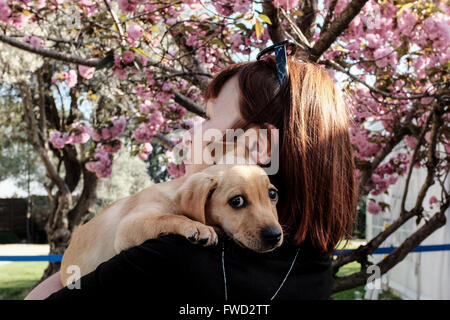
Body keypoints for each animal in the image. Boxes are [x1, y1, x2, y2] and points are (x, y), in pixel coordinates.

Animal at [59, 142, 282, 284]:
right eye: (236, 201)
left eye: (272, 194)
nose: (275, 235)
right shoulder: (129, 225)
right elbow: (169, 216)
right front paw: (198, 227)